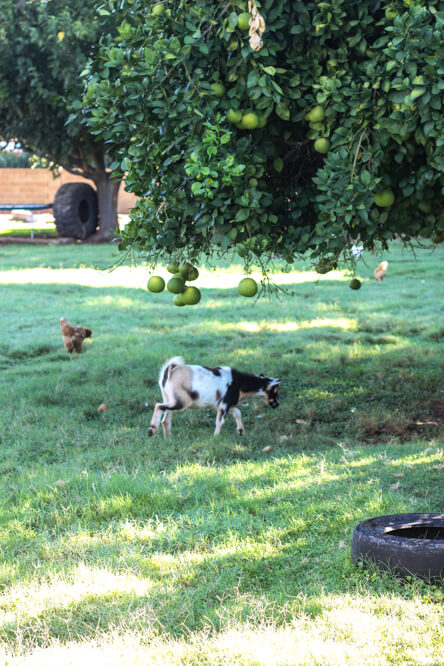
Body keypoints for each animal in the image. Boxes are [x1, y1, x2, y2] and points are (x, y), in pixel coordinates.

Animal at [149, 356, 280, 438]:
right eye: (275, 391)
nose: (277, 405)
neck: (239, 383)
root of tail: (167, 374)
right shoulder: (224, 404)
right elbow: (220, 421)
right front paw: (216, 437)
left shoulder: (226, 404)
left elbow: (238, 412)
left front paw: (241, 431)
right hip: (181, 402)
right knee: (159, 406)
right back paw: (151, 430)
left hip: (170, 399)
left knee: (165, 420)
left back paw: (168, 438)